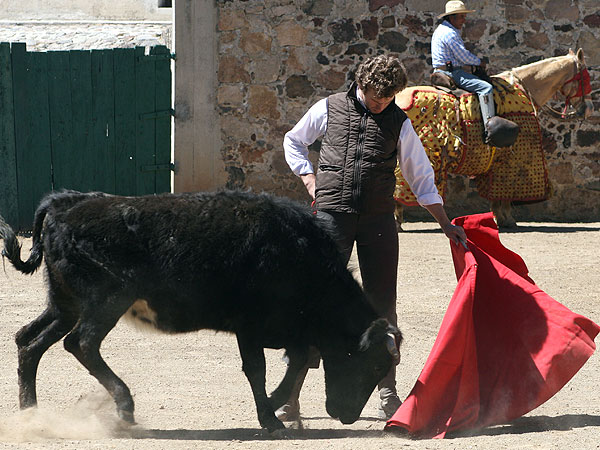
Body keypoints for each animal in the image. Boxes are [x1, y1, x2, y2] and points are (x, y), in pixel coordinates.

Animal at [2, 190, 404, 432]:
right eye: (373, 365)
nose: (348, 416)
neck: (299, 255)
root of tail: (65, 203)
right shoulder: (251, 326)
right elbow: (258, 369)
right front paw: (270, 417)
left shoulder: (285, 331)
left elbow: (300, 359)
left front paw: (273, 408)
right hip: (106, 301)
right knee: (81, 343)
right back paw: (125, 406)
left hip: (64, 304)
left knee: (29, 341)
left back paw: (30, 413)